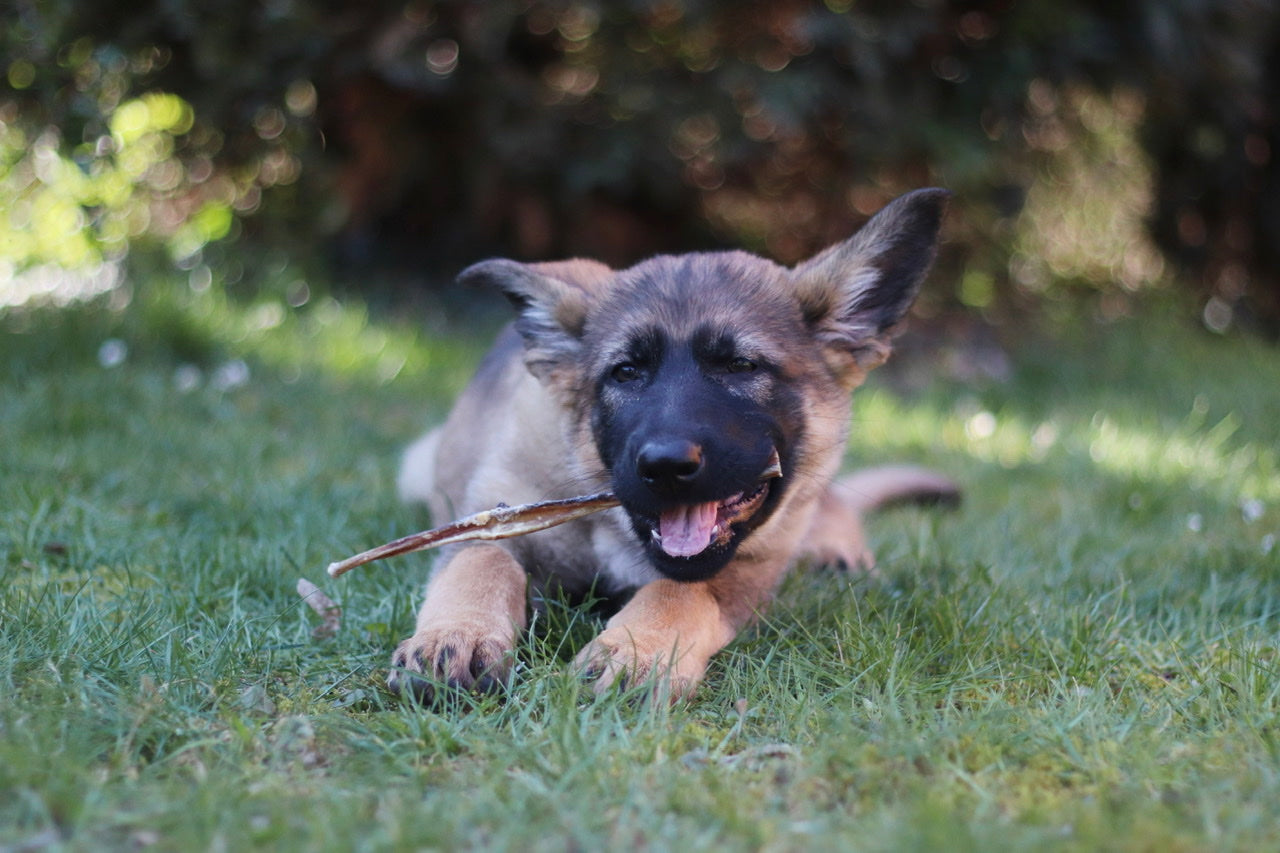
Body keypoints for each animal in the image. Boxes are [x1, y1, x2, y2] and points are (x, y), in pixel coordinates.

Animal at [389, 189, 962, 701]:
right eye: (625, 372)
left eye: (741, 366)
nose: (665, 466)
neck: (618, 537)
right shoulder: (492, 514)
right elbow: (479, 563)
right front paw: (455, 636)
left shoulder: (746, 570)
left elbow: (681, 590)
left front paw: (636, 650)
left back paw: (835, 552)